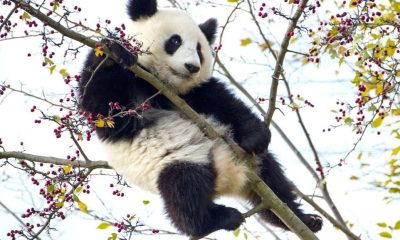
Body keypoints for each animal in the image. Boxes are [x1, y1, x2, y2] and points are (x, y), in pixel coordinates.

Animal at [78, 0, 322, 236]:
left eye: (199, 49)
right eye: (175, 41)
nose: (192, 67)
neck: (162, 85)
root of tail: (228, 180)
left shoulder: (194, 93)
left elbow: (226, 104)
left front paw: (256, 137)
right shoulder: (131, 91)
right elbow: (103, 111)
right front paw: (115, 51)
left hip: (243, 157)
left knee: (274, 180)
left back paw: (302, 219)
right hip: (174, 161)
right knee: (184, 191)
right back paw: (216, 220)